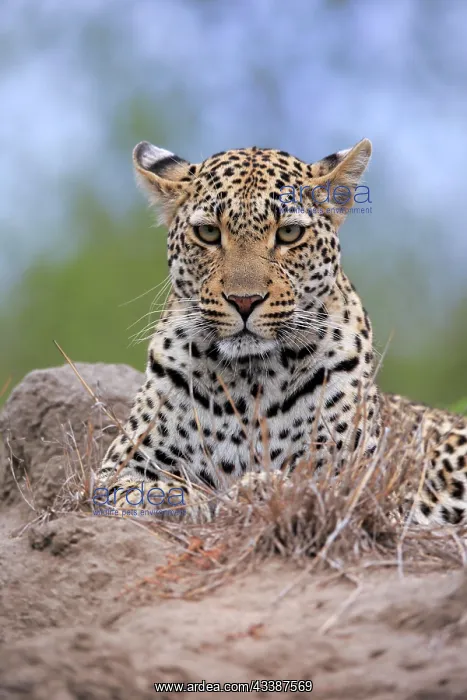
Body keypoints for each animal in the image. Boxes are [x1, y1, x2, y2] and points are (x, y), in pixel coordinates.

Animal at [98, 138, 467, 526]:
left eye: (289, 233)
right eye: (208, 233)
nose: (244, 300)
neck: (249, 380)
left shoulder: (352, 474)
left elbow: (302, 483)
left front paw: (252, 491)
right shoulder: (126, 460)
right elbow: (131, 487)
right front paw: (169, 497)